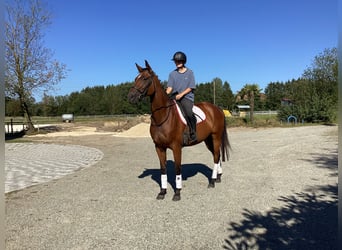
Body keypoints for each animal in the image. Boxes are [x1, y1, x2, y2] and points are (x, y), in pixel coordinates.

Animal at [127, 60, 231, 201]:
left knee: (215, 156)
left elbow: (177, 169)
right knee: (217, 155)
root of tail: (217, 109)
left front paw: (177, 193)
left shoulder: (176, 147)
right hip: (208, 139)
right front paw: (162, 192)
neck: (163, 116)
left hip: (216, 137)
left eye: (145, 78)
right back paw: (218, 177)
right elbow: (163, 169)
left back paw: (212, 181)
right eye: (135, 78)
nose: (130, 97)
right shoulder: (159, 147)